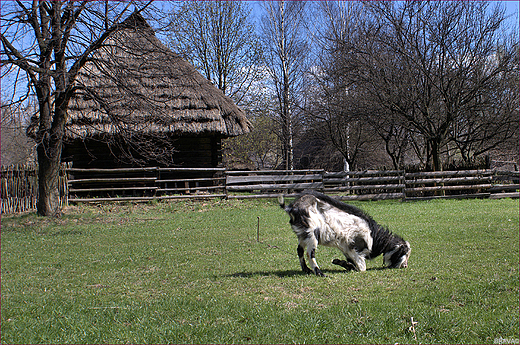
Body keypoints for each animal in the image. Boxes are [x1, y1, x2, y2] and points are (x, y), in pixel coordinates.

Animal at [280, 189, 410, 276]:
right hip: (312, 234)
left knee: (300, 250)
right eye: (403, 253)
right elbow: (362, 268)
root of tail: (292, 208)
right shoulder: (353, 247)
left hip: (302, 235)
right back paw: (319, 273)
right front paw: (345, 264)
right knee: (309, 253)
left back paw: (306, 269)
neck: (374, 235)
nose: (405, 266)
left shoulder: (346, 249)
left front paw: (340, 263)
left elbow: (352, 263)